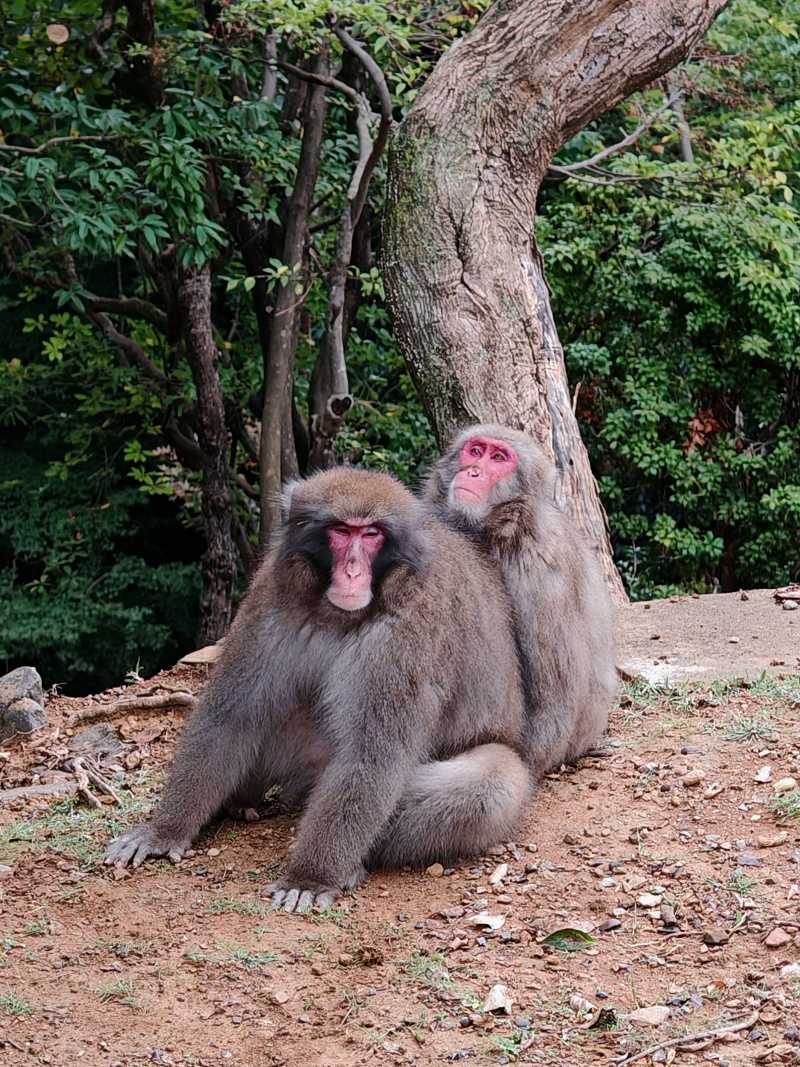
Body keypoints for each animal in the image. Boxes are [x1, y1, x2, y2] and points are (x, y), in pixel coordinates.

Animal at [105, 467, 533, 912]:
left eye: (372, 534)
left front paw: (310, 877)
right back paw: (239, 803)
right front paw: (163, 831)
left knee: (490, 784)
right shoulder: (272, 592)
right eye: (342, 531)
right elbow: (229, 716)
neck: (341, 614)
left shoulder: (410, 628)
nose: (352, 572)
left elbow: (370, 756)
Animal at [423, 425, 618, 778]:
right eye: (476, 451)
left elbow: (554, 699)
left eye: (499, 458)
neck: (495, 529)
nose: (474, 471)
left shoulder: (541, 566)